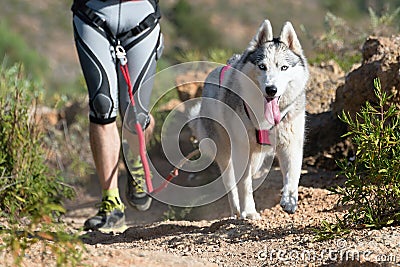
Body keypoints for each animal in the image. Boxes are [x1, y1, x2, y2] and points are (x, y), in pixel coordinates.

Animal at [189, 19, 308, 220]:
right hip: (226, 152)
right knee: (231, 183)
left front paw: (289, 201)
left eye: (284, 67)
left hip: (256, 157)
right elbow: (244, 185)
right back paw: (237, 210)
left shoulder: (291, 143)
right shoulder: (242, 148)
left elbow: (292, 174)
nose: (271, 89)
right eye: (262, 66)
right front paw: (250, 212)